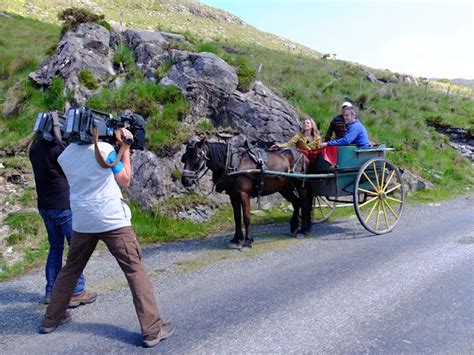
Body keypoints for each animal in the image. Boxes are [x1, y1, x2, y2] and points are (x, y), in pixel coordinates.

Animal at [180, 138, 312, 249]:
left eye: (195, 157)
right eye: (184, 158)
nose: (185, 181)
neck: (233, 163)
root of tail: (302, 154)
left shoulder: (244, 195)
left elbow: (247, 217)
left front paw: (247, 241)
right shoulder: (233, 196)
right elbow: (237, 218)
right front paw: (236, 239)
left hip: (300, 185)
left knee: (304, 203)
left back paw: (303, 230)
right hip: (284, 187)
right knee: (296, 202)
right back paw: (294, 225)